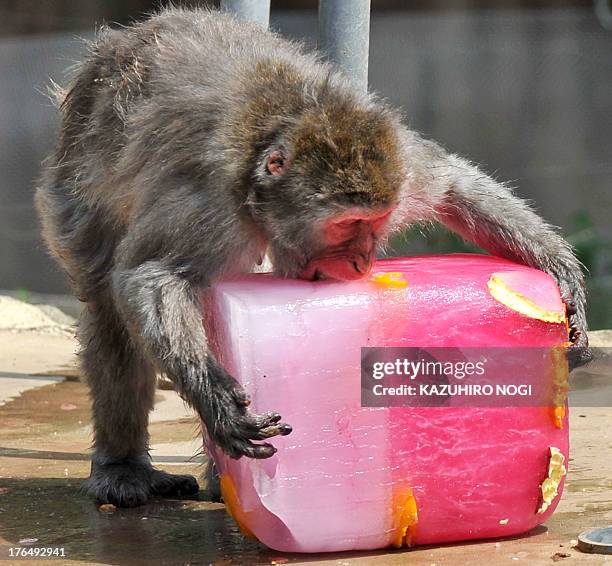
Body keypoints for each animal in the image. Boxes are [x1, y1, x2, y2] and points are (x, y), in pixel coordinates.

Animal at [35, 6, 592, 508]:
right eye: (348, 226)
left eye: (377, 222)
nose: (363, 261)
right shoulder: (207, 202)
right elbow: (151, 276)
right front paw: (217, 400)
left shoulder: (400, 166)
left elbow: (452, 183)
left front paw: (565, 283)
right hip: (72, 199)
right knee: (110, 307)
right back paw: (123, 468)